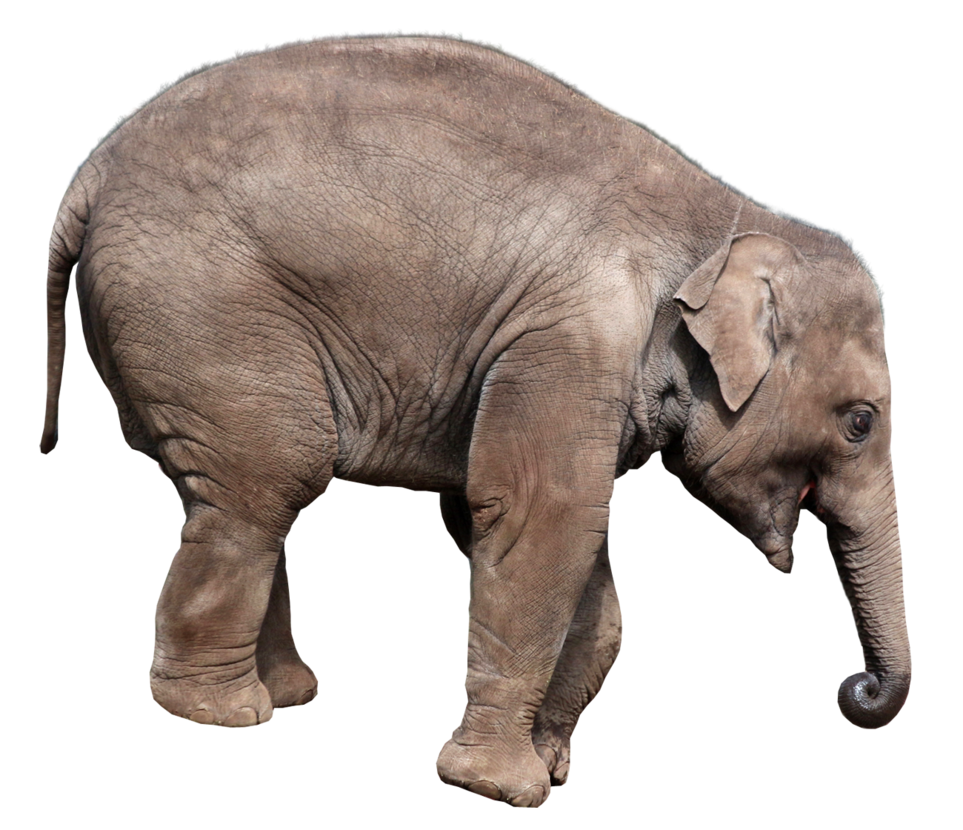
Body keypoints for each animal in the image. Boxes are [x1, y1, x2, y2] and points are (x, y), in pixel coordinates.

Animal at [40, 32, 910, 807]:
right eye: (859, 422)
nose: (856, 687)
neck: (729, 218)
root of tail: (86, 178)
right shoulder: (570, 339)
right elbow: (539, 516)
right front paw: (499, 789)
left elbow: (581, 554)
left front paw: (552, 769)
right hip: (201, 308)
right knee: (269, 481)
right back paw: (223, 713)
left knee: (238, 489)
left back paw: (285, 693)